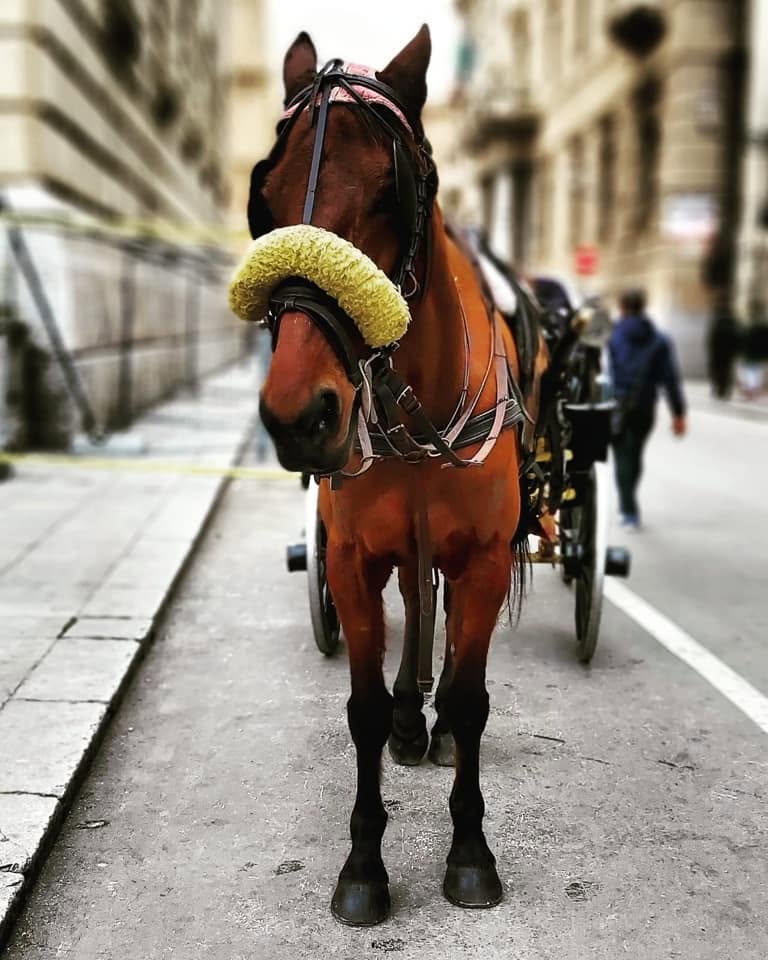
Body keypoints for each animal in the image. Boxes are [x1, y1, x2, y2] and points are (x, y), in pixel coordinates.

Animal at [232, 26, 547, 926]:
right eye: (265, 197)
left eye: (393, 188)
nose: (301, 414)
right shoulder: (350, 559)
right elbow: (365, 708)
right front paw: (364, 862)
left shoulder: (484, 557)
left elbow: (472, 702)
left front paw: (470, 851)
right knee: (416, 599)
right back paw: (414, 715)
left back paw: (430, 723)